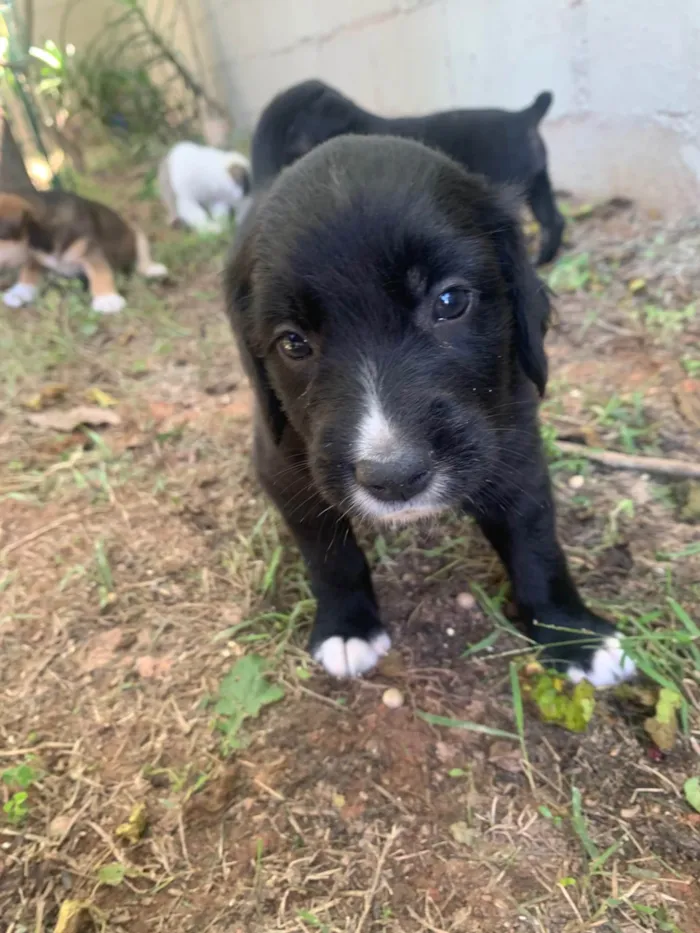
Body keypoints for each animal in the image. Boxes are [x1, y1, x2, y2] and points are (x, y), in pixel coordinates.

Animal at [0, 189, 167, 314]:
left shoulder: (89, 249)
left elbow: (100, 272)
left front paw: (106, 298)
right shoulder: (34, 255)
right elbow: (28, 272)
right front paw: (20, 292)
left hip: (136, 232)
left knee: (142, 257)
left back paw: (151, 269)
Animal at [226, 133, 636, 684]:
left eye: (449, 301)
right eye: (292, 342)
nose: (394, 477)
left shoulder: (515, 451)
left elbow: (536, 546)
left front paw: (573, 635)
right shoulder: (287, 472)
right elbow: (330, 555)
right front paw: (347, 627)